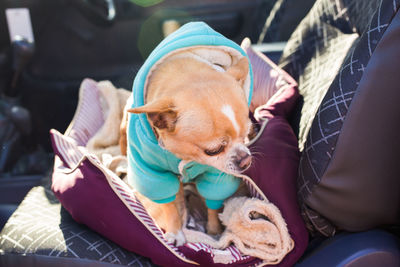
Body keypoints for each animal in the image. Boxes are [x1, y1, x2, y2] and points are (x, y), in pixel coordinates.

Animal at [119, 50, 252, 247]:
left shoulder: (215, 174)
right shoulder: (154, 174)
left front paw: (214, 231)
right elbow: (169, 205)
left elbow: (213, 203)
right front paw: (175, 232)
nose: (245, 159)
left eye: (246, 136)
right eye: (213, 150)